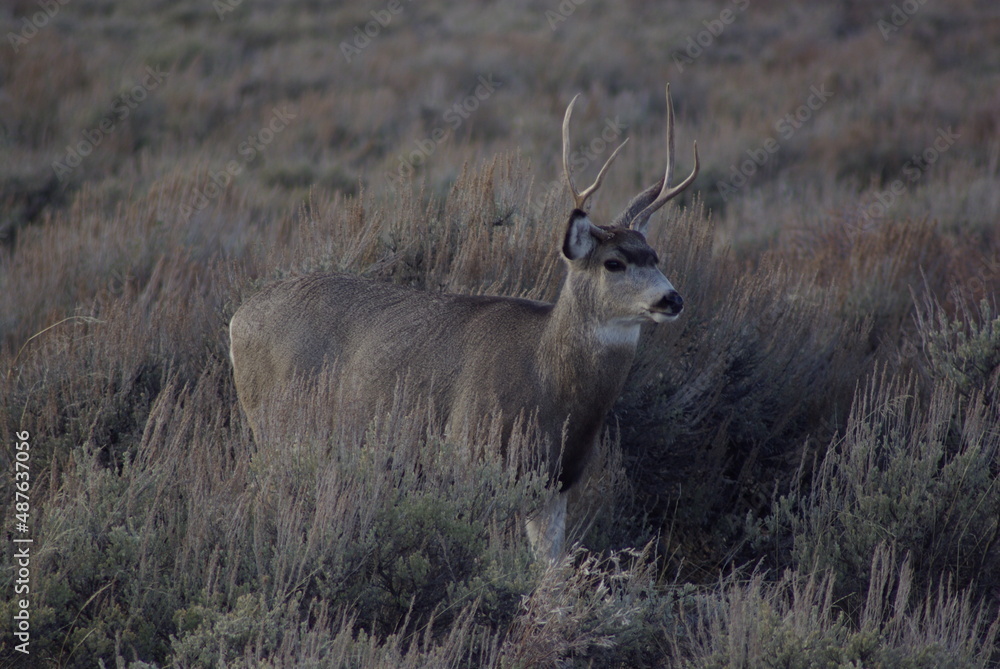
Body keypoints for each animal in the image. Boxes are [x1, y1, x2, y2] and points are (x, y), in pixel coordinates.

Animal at [229, 85, 699, 561]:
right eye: (614, 262)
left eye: (655, 256)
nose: (672, 298)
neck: (549, 381)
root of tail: (236, 319)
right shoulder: (470, 454)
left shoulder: (557, 482)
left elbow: (550, 569)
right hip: (274, 427)